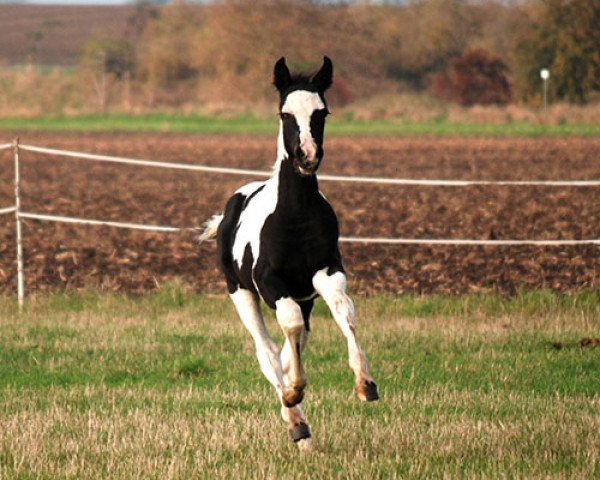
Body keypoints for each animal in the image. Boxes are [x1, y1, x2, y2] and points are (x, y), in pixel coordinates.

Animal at [202, 56, 380, 450]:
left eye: (322, 112)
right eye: (285, 113)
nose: (307, 156)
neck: (294, 216)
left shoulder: (326, 273)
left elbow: (344, 311)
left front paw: (365, 384)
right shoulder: (269, 282)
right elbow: (289, 326)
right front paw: (294, 392)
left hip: (304, 297)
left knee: (288, 346)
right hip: (241, 293)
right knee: (267, 352)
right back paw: (296, 422)